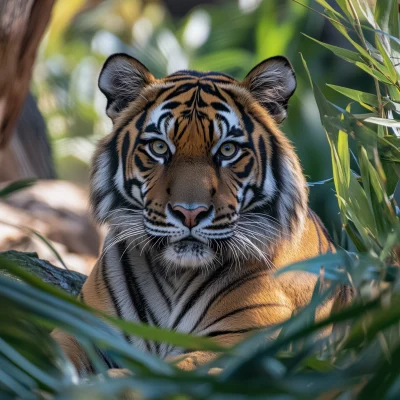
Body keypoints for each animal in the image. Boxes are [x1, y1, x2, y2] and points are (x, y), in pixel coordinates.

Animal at [52, 53, 346, 376]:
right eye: (159, 147)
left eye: (228, 150)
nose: (189, 213)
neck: (176, 274)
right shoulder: (84, 328)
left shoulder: (236, 342)